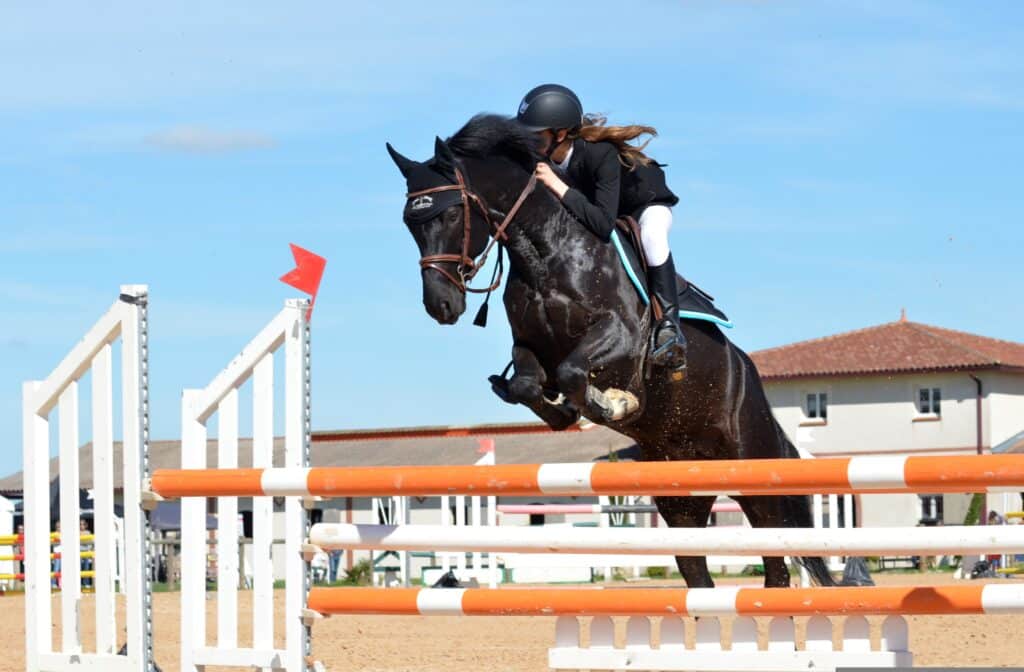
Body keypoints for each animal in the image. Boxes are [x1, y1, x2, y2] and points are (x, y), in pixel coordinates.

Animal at [387, 114, 838, 588]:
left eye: (453, 212)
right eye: (410, 224)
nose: (440, 305)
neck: (546, 253)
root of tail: (749, 375)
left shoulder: (621, 337)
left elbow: (574, 372)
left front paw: (615, 404)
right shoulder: (530, 347)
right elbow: (529, 385)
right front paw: (566, 411)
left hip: (754, 471)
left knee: (776, 564)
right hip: (681, 497)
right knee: (699, 574)